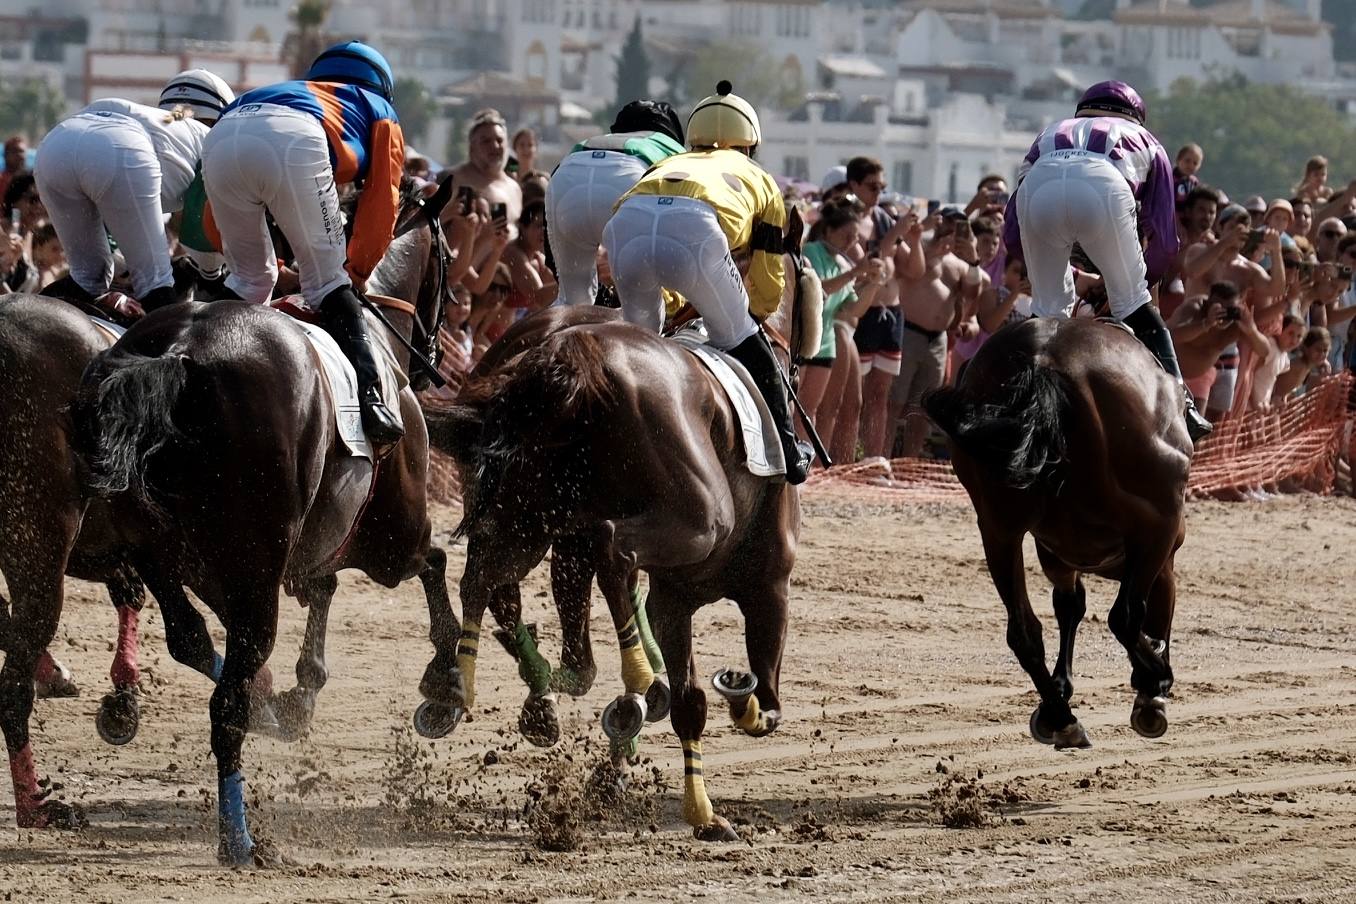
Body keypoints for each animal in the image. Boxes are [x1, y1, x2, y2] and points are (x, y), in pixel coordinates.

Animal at [71, 180, 452, 867]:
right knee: (227, 698)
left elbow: (316, 591)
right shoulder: (388, 538)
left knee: (192, 640)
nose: (437, 359)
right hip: (266, 563)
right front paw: (443, 691)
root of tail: (177, 354)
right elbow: (433, 566)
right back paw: (239, 836)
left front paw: (295, 696)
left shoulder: (297, 548)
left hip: (157, 550)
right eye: (450, 260)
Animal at [423, 303, 797, 840]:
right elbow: (765, 701)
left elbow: (691, 703)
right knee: (608, 549)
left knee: (486, 572)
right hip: (693, 518)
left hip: (530, 510)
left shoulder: (673, 598)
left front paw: (701, 812)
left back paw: (462, 684)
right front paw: (735, 698)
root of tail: (570, 354)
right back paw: (632, 682)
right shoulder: (770, 589)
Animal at [927, 318, 1193, 748]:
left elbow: (1069, 606)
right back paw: (1152, 677)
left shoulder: (1057, 555)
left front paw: (1061, 691)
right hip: (1158, 521)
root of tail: (1044, 362)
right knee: (1124, 616)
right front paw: (1150, 689)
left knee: (1024, 632)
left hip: (998, 528)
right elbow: (1140, 611)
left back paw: (1062, 716)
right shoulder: (1159, 546)